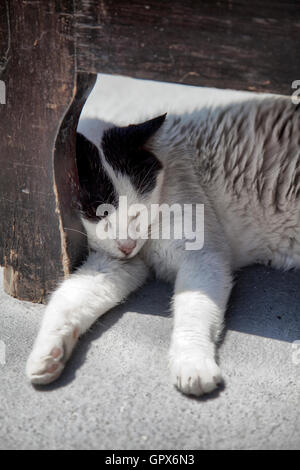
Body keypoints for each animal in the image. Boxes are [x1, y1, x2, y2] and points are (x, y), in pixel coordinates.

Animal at [26, 95, 300, 396]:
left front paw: (192, 364)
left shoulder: (202, 259)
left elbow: (192, 313)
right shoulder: (117, 264)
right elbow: (69, 298)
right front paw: (47, 354)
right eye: (99, 215)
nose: (128, 245)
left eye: (136, 213)